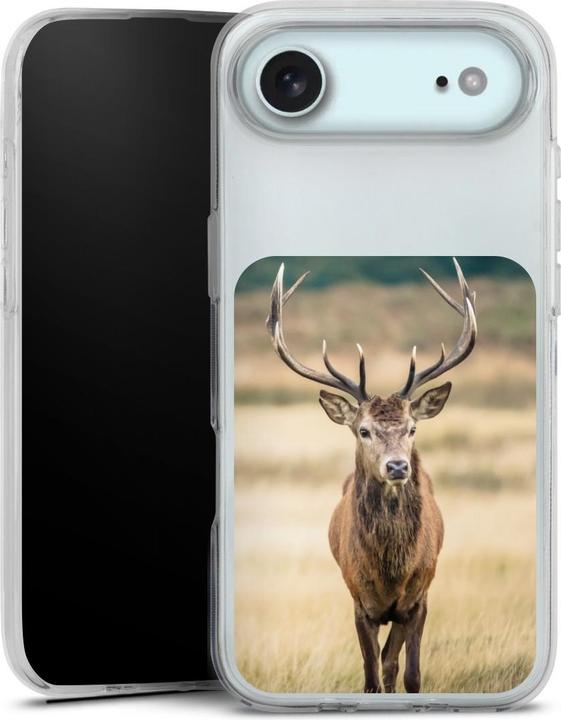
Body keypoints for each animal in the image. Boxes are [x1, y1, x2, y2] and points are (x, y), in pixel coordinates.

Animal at [266, 259, 477, 694]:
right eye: (363, 430)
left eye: (412, 428)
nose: (397, 466)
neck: (390, 573)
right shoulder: (359, 602)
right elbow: (370, 676)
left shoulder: (419, 598)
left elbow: (409, 674)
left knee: (392, 663)